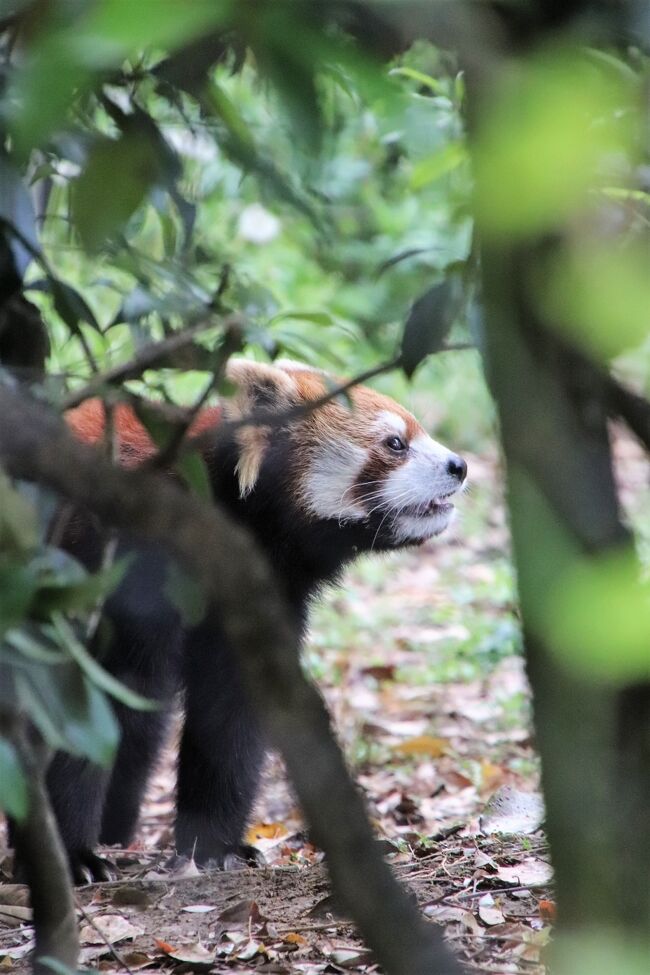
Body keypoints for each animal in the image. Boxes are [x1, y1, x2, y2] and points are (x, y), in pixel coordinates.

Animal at [43, 360, 464, 884]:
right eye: (395, 443)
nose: (459, 466)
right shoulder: (109, 558)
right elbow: (82, 700)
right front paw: (72, 855)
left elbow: (229, 713)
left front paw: (213, 846)